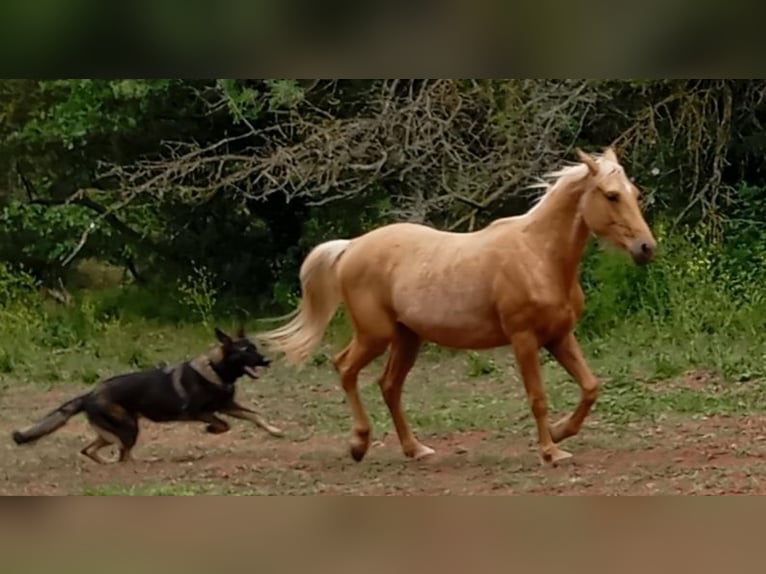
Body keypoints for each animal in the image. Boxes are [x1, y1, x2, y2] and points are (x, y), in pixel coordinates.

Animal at [256, 147, 657, 465]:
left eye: (634, 193)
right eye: (611, 195)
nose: (646, 248)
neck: (538, 257)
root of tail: (352, 245)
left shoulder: (559, 336)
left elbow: (590, 387)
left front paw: (559, 434)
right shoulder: (524, 339)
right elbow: (538, 397)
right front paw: (550, 452)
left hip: (407, 338)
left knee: (389, 385)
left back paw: (415, 449)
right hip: (375, 334)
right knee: (345, 368)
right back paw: (358, 444)